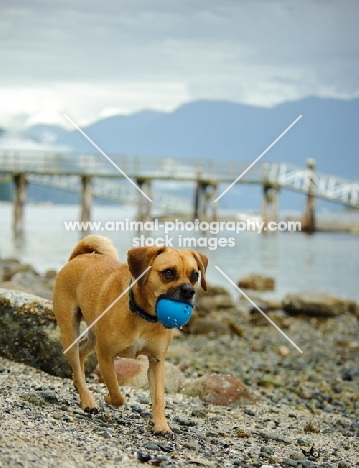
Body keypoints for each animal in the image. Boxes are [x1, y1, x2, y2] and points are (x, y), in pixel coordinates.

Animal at [51, 236, 207, 434]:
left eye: (195, 275)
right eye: (168, 273)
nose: (188, 291)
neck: (144, 316)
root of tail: (79, 257)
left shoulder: (157, 362)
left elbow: (158, 398)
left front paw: (162, 426)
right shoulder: (105, 355)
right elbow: (117, 394)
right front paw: (108, 398)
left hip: (93, 335)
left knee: (81, 351)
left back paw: (79, 386)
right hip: (70, 331)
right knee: (76, 357)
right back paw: (87, 400)